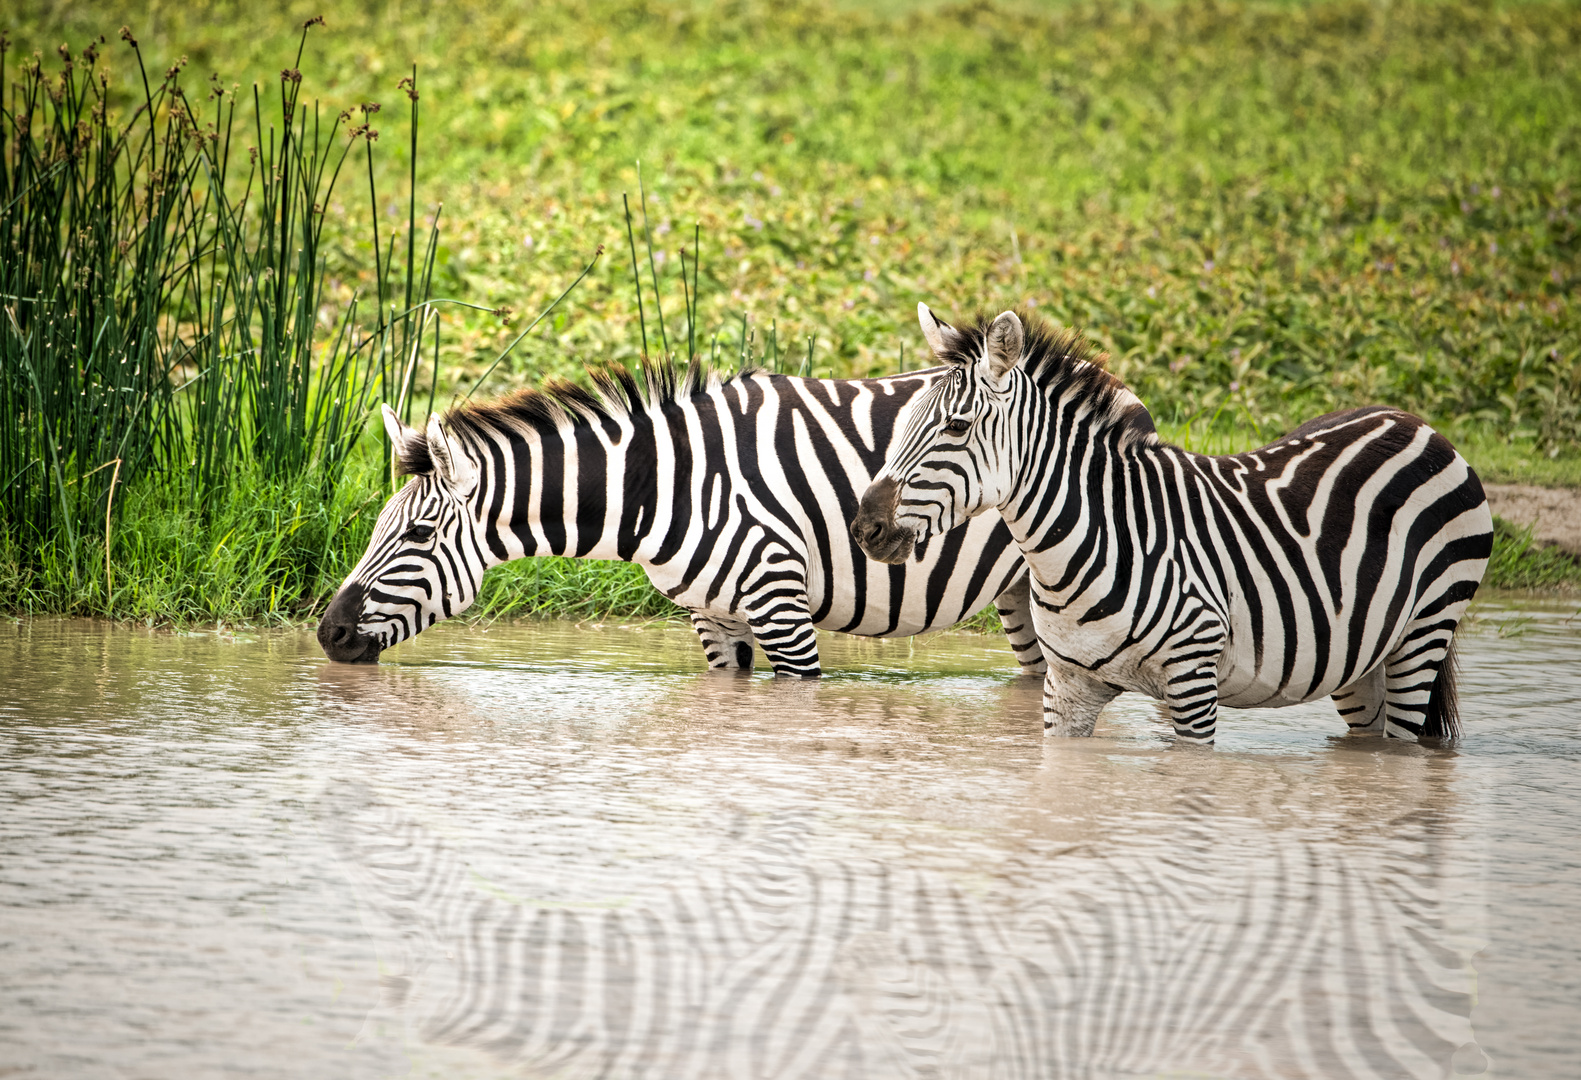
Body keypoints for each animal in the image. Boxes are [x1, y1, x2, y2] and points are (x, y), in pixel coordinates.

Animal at [313, 366, 1043, 679]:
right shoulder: (712, 615)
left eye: (417, 536)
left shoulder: (780, 604)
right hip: (1027, 587)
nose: (328, 633)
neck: (665, 485)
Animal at [853, 303, 1492, 743]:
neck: (1085, 545)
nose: (865, 529)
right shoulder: (1067, 688)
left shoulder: (1192, 680)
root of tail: (1411, 420)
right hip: (1363, 656)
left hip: (1425, 630)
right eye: (903, 420)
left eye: (956, 428)